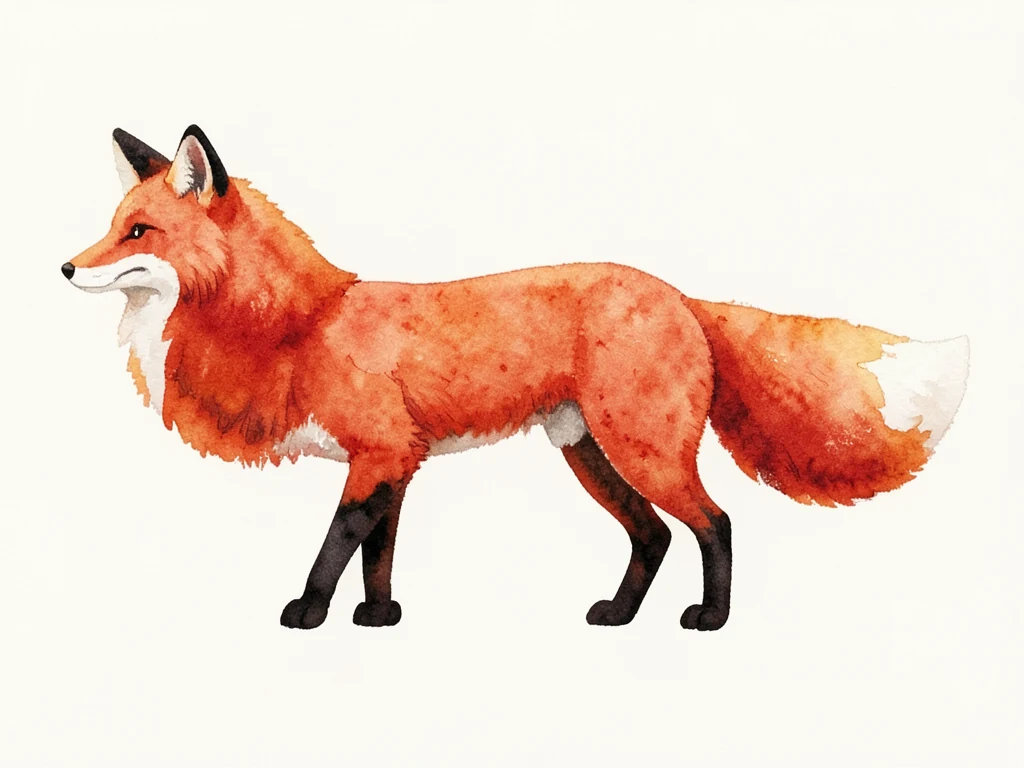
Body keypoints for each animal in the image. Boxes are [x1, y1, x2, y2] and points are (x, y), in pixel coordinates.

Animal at [63, 125, 969, 632]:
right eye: (110, 226)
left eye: (138, 232)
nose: (65, 267)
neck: (302, 325)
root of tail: (677, 293)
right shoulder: (394, 459)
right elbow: (379, 550)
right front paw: (379, 619)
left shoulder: (378, 453)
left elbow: (335, 545)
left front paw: (310, 614)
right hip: (588, 451)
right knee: (654, 535)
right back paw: (619, 616)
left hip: (640, 449)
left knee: (715, 524)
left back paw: (710, 619)